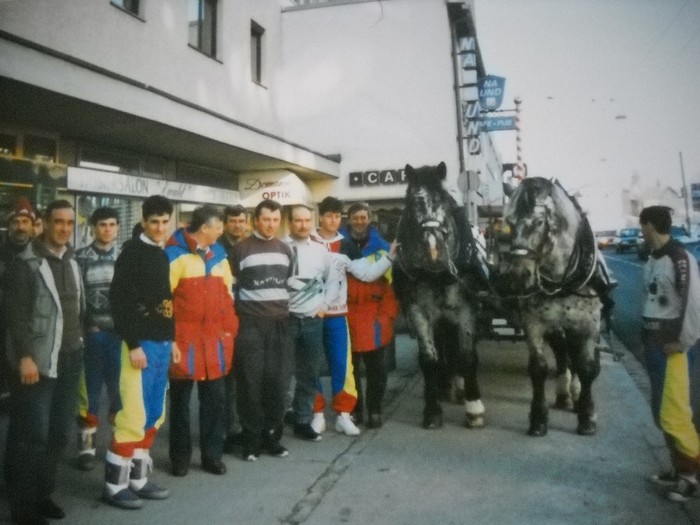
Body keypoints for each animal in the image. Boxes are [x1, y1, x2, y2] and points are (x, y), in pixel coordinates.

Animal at [394, 162, 486, 428]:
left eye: (445, 201)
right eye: (412, 203)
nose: (432, 248)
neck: (436, 273)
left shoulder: (467, 310)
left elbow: (467, 356)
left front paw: (474, 407)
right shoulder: (418, 311)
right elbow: (429, 359)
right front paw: (432, 410)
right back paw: (446, 385)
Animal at [504, 176, 600, 434]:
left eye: (538, 222)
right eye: (508, 223)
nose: (517, 276)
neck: (563, 282)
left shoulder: (588, 326)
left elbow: (586, 368)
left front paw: (587, 416)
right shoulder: (533, 323)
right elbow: (539, 368)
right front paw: (538, 418)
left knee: (574, 359)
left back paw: (574, 394)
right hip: (557, 327)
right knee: (562, 354)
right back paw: (563, 393)